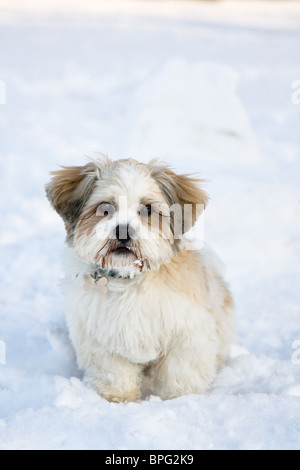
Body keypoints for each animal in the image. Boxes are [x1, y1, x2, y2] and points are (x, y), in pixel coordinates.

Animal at [45, 160, 236, 402]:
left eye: (147, 209)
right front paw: (120, 398)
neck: (129, 279)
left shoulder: (187, 333)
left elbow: (180, 371)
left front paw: (178, 399)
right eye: (105, 208)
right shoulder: (102, 336)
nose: (123, 230)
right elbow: (114, 373)